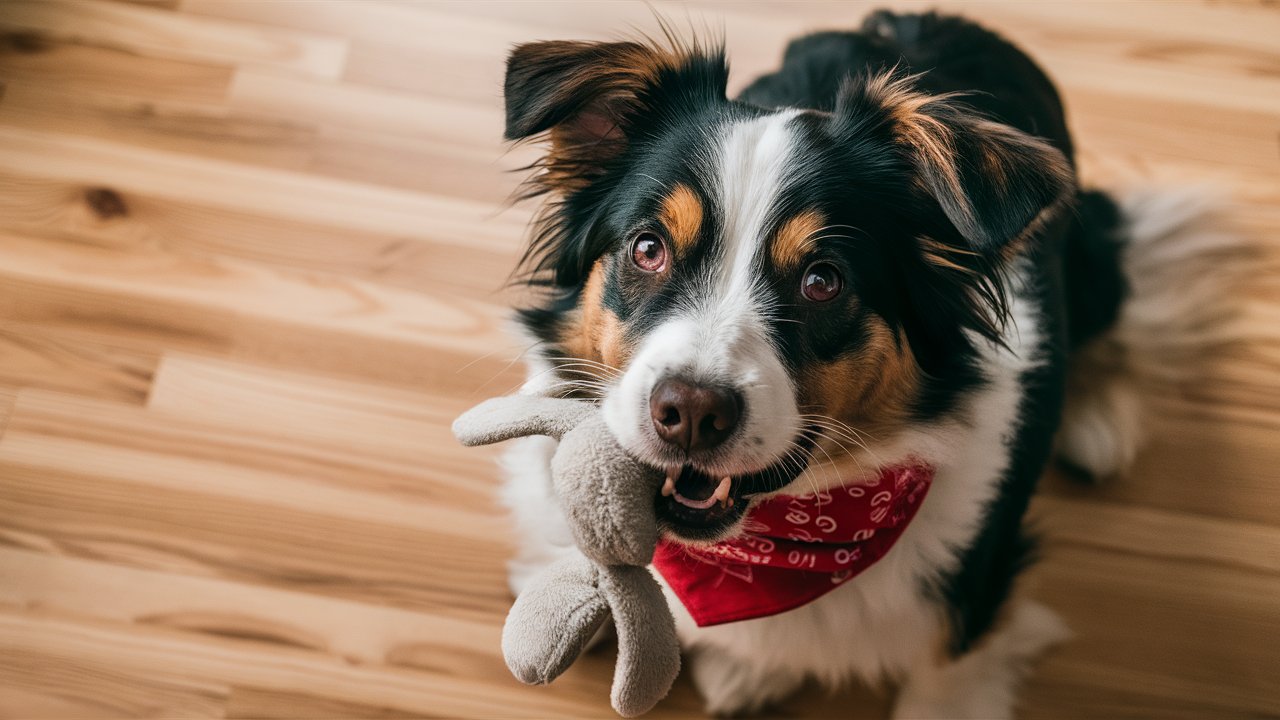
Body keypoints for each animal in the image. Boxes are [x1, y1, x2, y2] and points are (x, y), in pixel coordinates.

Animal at [491, 9, 1208, 712]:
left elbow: (947, 681)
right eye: (647, 248)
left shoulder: (976, 592)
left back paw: (1098, 421)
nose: (690, 412)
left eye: (822, 281)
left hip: (1090, 250)